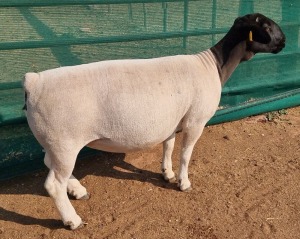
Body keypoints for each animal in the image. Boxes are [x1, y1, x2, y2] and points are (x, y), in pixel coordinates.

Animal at [22, 13, 284, 230]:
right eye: (267, 25)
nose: (284, 42)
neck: (213, 65)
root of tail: (33, 82)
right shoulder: (195, 121)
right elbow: (185, 154)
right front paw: (183, 182)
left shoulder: (171, 121)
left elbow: (168, 146)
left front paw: (167, 173)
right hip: (64, 141)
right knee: (54, 184)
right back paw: (72, 219)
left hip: (53, 141)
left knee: (49, 163)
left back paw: (77, 190)